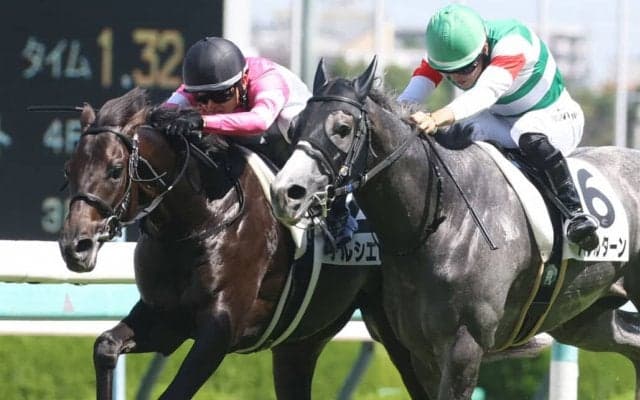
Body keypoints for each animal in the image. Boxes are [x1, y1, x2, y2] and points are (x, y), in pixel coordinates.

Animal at [57, 87, 430, 399]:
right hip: (301, 341)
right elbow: (105, 346)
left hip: (398, 335)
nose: (76, 245)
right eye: (68, 169)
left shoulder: (220, 329)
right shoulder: (166, 318)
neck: (198, 219)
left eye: (115, 169)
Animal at [270, 58, 640, 399]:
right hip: (582, 316)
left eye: (343, 128)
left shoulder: (464, 344)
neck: (441, 217)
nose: (286, 192)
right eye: (296, 126)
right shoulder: (420, 350)